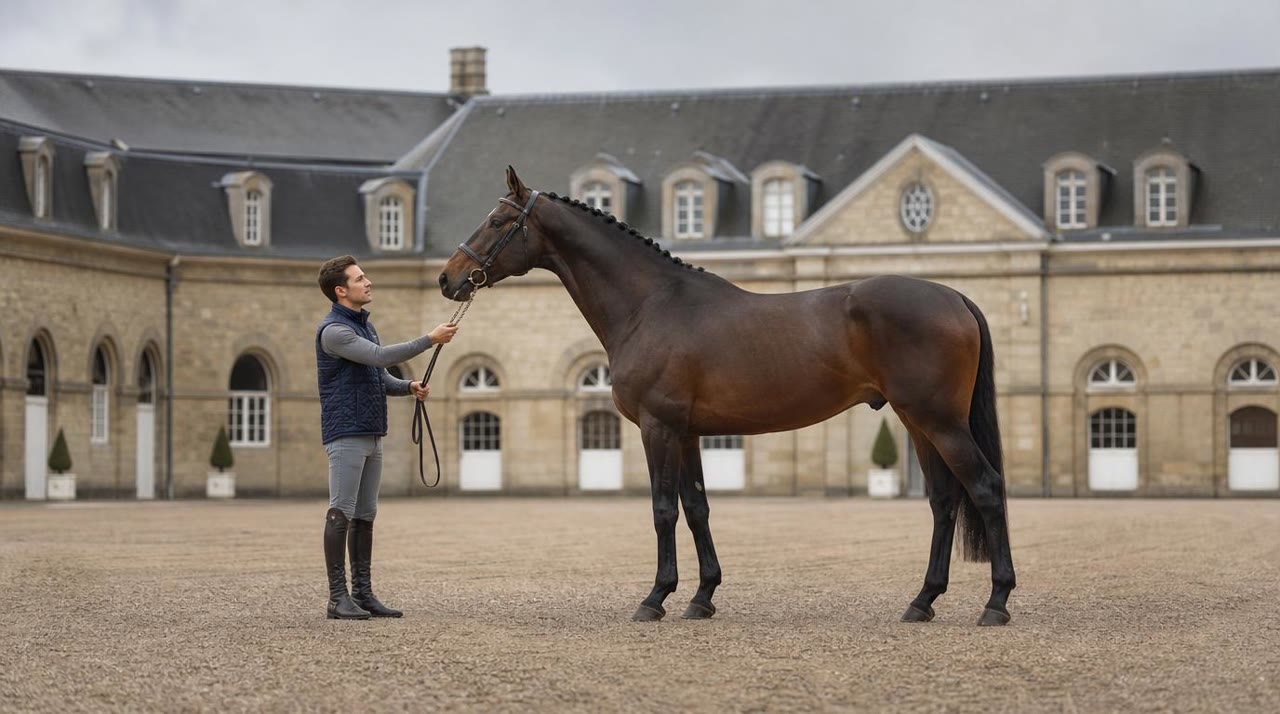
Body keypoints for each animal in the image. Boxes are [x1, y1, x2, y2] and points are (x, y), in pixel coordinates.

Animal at [438, 167, 1015, 626]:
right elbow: (697, 507)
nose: (448, 279)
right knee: (943, 501)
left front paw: (655, 598)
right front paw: (702, 597)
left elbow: (662, 510)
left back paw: (996, 602)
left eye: (497, 220)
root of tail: (954, 296)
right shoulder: (687, 433)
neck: (651, 304)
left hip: (939, 422)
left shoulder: (658, 427)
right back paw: (922, 602)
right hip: (918, 424)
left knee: (985, 488)